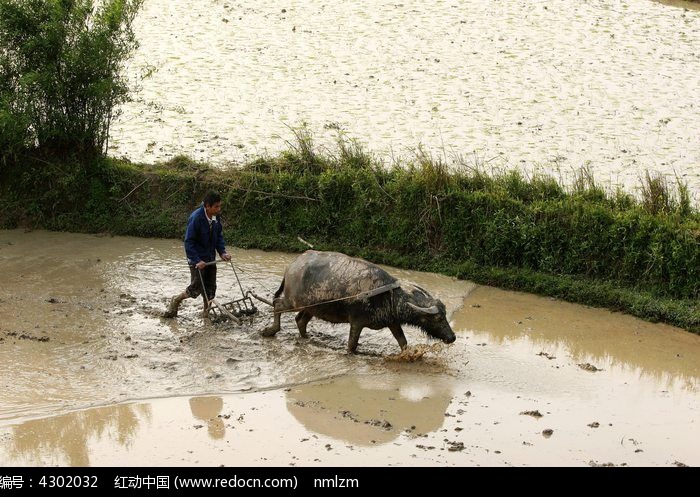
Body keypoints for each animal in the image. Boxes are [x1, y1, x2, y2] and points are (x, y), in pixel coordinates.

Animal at [260, 250, 456, 350]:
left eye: (445, 315)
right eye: (438, 318)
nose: (452, 337)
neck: (386, 296)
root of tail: (292, 266)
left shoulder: (392, 322)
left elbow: (403, 341)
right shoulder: (356, 322)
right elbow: (352, 345)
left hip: (312, 306)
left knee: (300, 320)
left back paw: (307, 338)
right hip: (293, 301)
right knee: (277, 304)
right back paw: (270, 330)